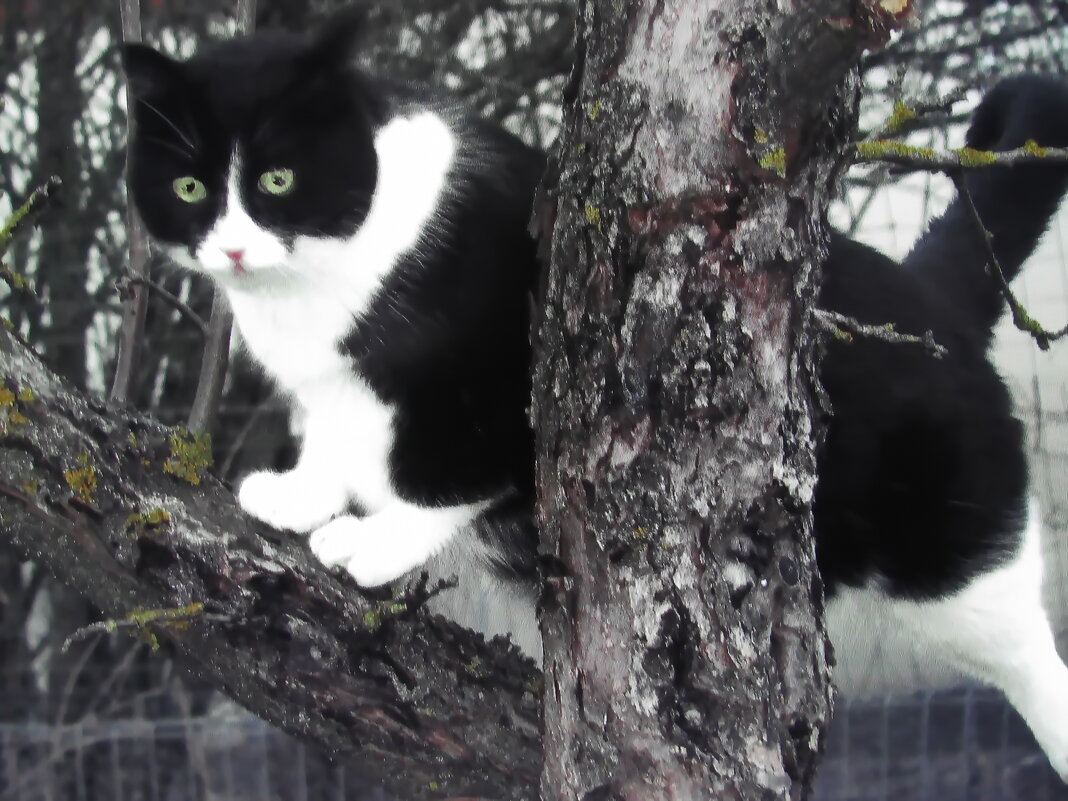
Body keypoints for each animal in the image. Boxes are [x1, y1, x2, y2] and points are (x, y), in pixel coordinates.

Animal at [122, 14, 1068, 777]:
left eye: (277, 180)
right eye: (189, 188)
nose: (233, 248)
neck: (312, 290)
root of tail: (934, 299)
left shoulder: (496, 379)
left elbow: (448, 467)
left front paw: (378, 540)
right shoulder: (333, 388)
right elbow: (335, 435)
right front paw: (301, 493)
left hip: (958, 555)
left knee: (1027, 651)